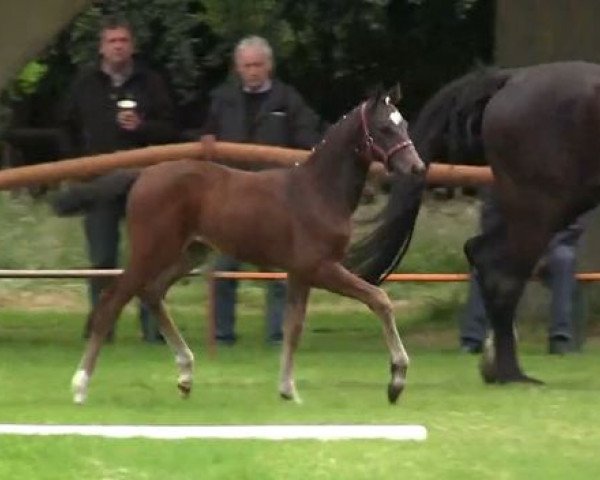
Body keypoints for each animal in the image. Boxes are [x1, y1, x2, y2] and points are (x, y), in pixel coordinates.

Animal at [71, 88, 426, 404]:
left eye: (405, 124)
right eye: (384, 128)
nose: (417, 167)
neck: (318, 192)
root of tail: (140, 178)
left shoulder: (298, 274)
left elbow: (293, 327)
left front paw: (287, 390)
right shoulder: (319, 268)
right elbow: (379, 299)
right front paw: (396, 381)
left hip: (189, 253)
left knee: (151, 293)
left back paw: (185, 375)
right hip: (151, 251)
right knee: (112, 302)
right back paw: (81, 386)